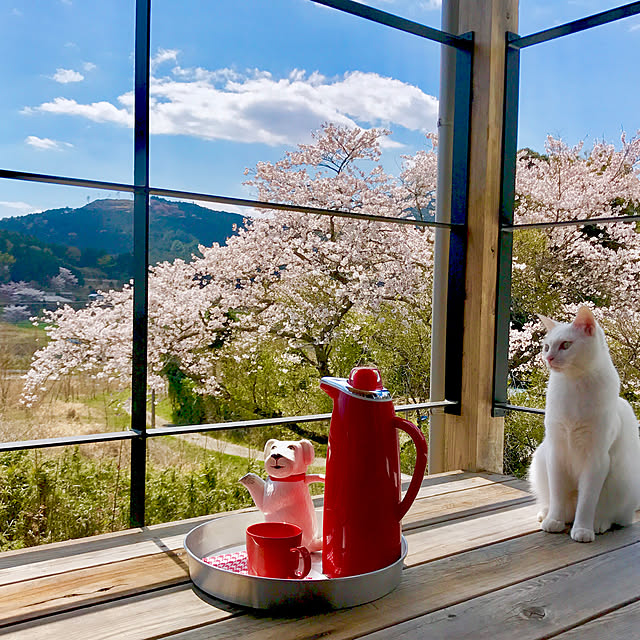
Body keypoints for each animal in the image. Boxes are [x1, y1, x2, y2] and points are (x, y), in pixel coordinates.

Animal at [528, 304, 640, 540]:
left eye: (566, 345)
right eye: (546, 347)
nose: (548, 358)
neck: (574, 385)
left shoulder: (596, 459)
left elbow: (587, 501)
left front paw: (582, 530)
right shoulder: (556, 453)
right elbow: (558, 495)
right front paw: (554, 521)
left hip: (622, 481)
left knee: (616, 516)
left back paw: (598, 524)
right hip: (540, 459)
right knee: (555, 502)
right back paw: (546, 514)